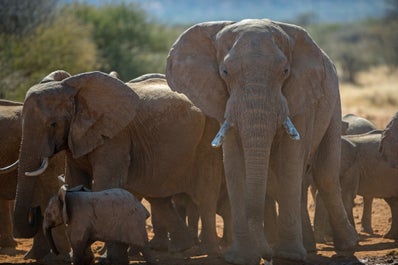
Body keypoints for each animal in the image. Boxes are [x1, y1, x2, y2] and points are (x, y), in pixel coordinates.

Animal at [166, 18, 358, 262]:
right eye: (224, 71)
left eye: (285, 71)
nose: (266, 255)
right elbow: (234, 163)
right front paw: (240, 258)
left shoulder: (300, 96)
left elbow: (290, 159)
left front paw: (288, 257)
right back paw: (308, 247)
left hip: (333, 99)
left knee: (324, 173)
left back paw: (346, 245)